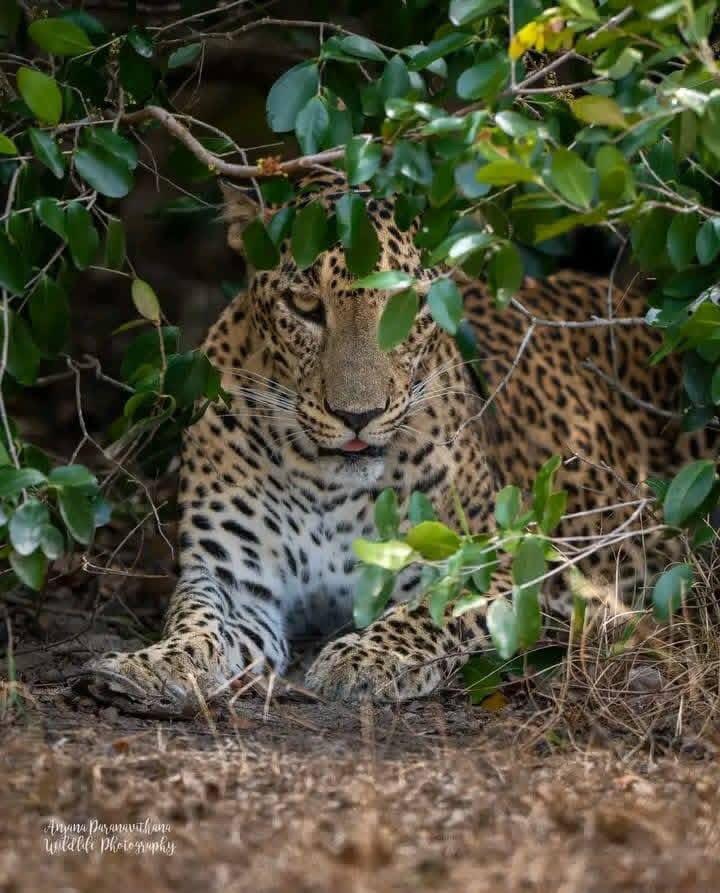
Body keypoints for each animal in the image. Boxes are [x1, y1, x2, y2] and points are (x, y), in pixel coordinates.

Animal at [77, 172, 717, 715]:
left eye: (406, 305)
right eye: (304, 308)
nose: (356, 416)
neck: (326, 484)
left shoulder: (500, 563)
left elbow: (431, 613)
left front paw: (362, 659)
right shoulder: (232, 578)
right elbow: (198, 624)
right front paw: (153, 665)